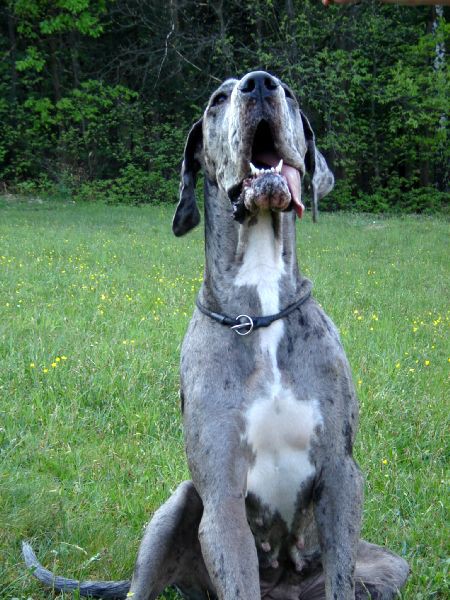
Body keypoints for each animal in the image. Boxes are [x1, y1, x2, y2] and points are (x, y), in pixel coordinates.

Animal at [23, 71, 408, 600]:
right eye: (217, 100)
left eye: (289, 94)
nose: (260, 84)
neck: (259, 314)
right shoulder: (222, 497)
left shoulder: (341, 476)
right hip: (176, 508)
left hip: (391, 567)